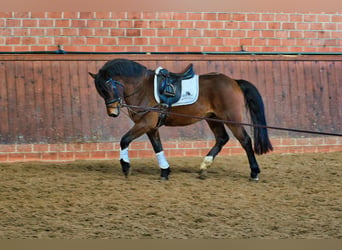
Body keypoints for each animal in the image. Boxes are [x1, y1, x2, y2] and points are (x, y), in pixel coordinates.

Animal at [88, 58, 272, 182]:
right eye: (100, 91)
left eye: (107, 88)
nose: (112, 113)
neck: (141, 88)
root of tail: (234, 81)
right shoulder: (151, 127)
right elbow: (157, 147)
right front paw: (165, 171)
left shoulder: (145, 124)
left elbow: (124, 140)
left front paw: (126, 167)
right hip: (213, 118)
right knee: (222, 138)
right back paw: (204, 167)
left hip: (231, 117)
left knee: (245, 140)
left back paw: (254, 173)